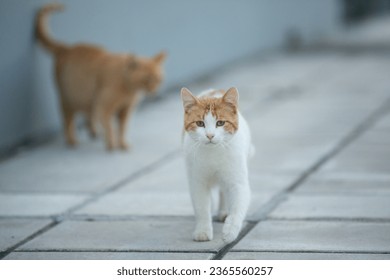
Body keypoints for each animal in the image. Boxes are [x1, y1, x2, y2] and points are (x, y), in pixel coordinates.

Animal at [34, 3, 166, 150]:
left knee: (88, 114)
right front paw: (111, 145)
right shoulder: (104, 107)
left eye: (159, 80)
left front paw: (122, 143)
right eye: (146, 80)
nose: (155, 92)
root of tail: (66, 48)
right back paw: (72, 141)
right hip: (69, 98)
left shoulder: (125, 111)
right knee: (68, 120)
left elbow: (122, 129)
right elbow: (110, 127)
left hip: (87, 97)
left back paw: (93, 131)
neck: (129, 89)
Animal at [181, 87, 253, 243]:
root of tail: (215, 90)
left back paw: (224, 212)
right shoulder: (197, 182)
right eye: (200, 123)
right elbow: (202, 207)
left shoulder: (238, 182)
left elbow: (238, 207)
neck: (213, 153)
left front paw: (230, 231)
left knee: (224, 189)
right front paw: (203, 231)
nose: (210, 135)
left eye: (220, 123)